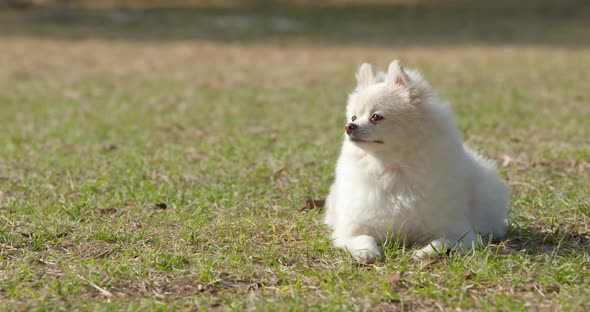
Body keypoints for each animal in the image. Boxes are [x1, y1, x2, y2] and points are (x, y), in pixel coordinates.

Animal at [326, 59, 512, 260]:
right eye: (353, 116)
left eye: (376, 117)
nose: (349, 126)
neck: (392, 169)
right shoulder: (349, 230)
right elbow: (363, 238)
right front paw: (367, 252)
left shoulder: (463, 233)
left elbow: (442, 242)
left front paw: (423, 252)